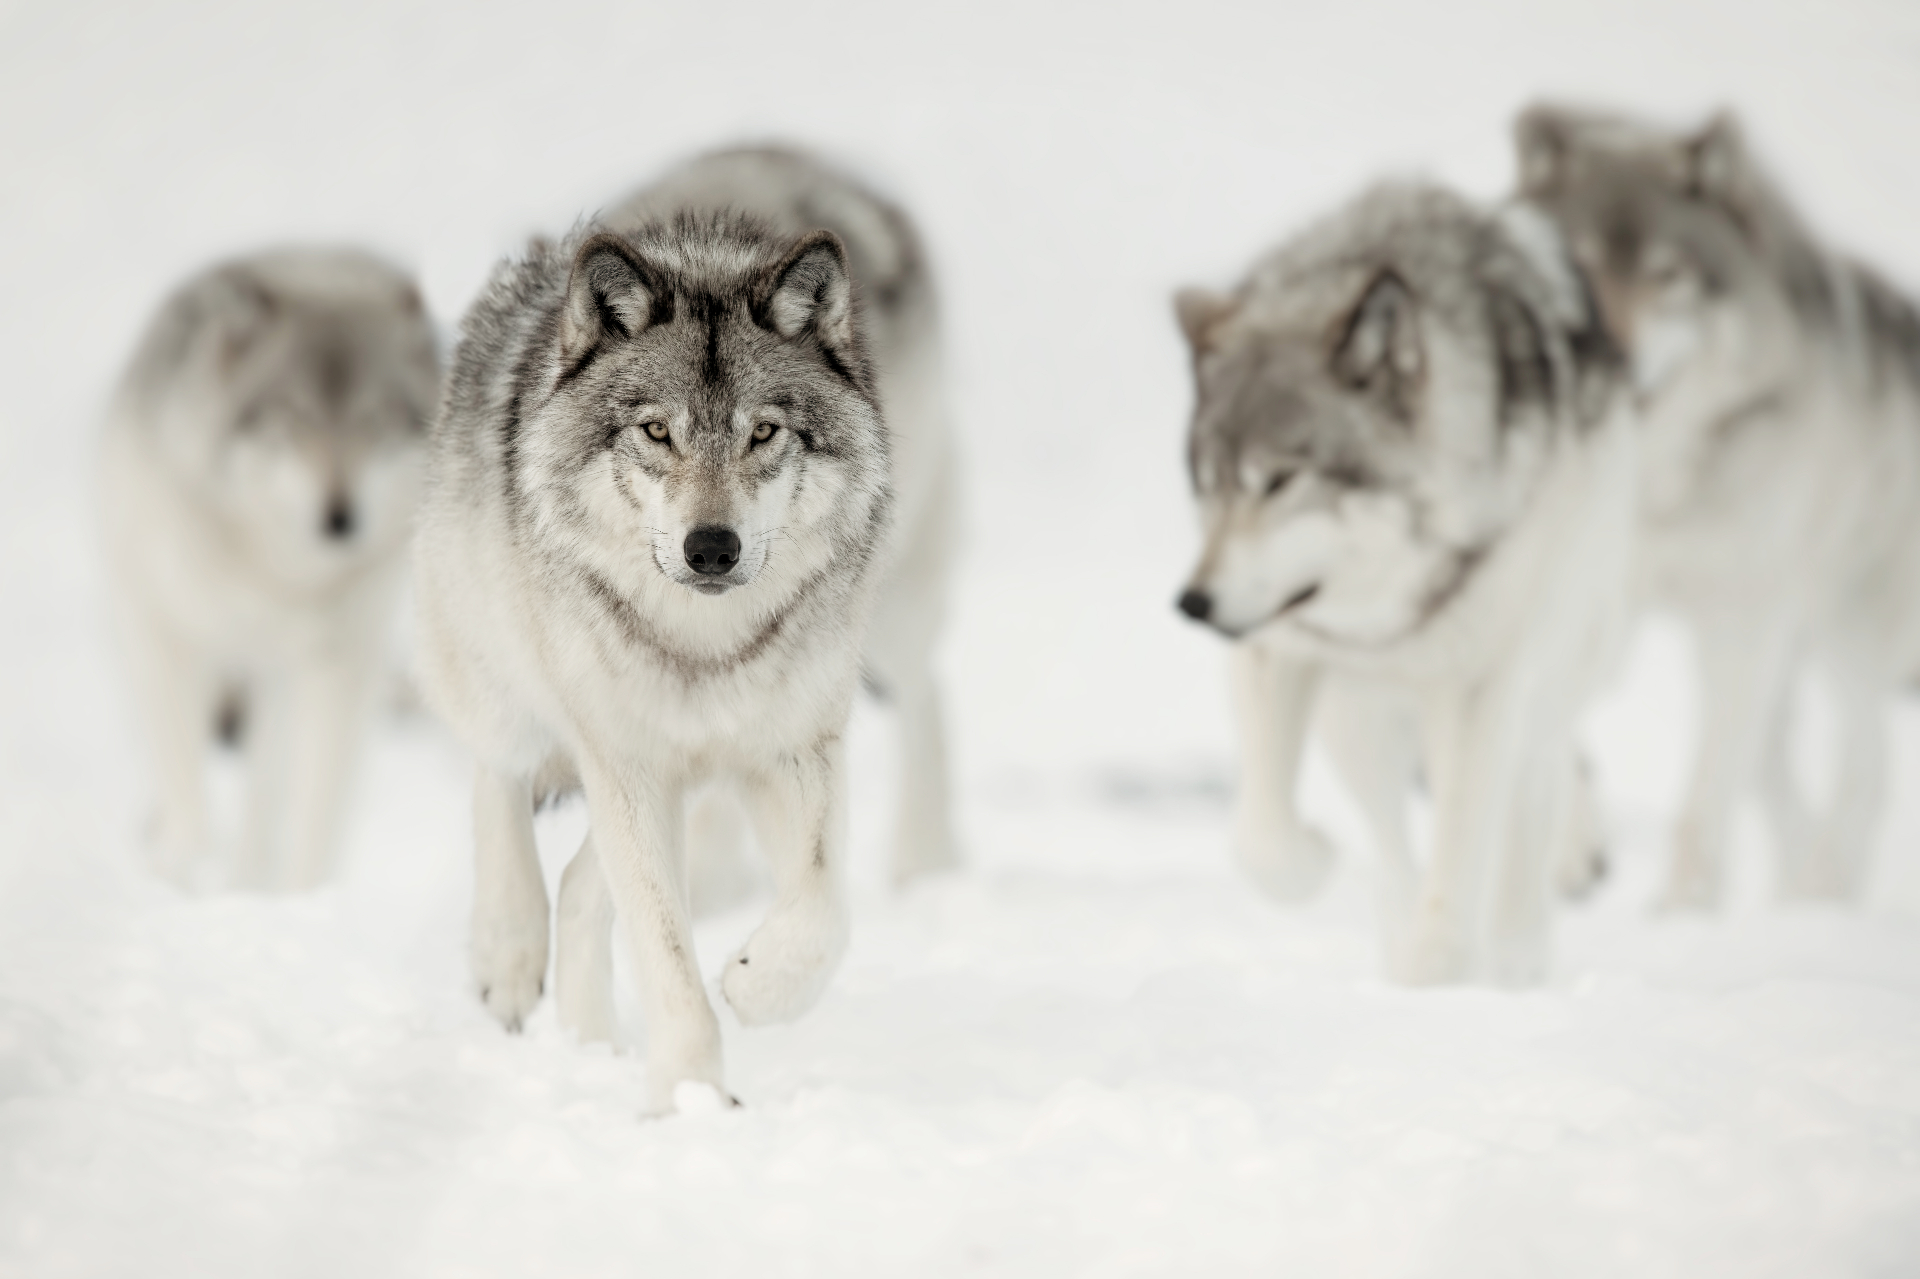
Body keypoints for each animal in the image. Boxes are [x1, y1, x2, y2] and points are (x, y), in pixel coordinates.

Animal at [100, 249, 438, 891]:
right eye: (294, 416)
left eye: (374, 419)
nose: (340, 519)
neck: (276, 571)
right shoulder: (170, 637)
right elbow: (185, 780)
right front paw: (182, 877)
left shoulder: (331, 665)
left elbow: (311, 807)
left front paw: (300, 898)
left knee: (268, 796)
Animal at [413, 152, 911, 1111]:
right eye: (655, 431)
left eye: (763, 432)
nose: (710, 547)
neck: (706, 645)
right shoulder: (627, 763)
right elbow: (668, 957)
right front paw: (688, 1098)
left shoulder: (792, 747)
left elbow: (825, 907)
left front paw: (758, 986)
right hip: (508, 681)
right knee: (498, 778)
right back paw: (507, 953)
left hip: (681, 784)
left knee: (581, 886)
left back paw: (589, 1044)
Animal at [1174, 183, 1635, 983]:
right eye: (1209, 484)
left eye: (1280, 480)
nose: (1194, 603)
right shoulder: (1282, 644)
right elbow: (1262, 839)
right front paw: (1317, 858)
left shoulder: (1481, 685)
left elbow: (1465, 841)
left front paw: (1446, 971)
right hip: (1357, 717)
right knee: (1391, 838)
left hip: (1546, 675)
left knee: (1533, 797)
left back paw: (1516, 956)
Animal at [1516, 106, 1920, 906]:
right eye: (1576, 264)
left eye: (1667, 276)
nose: (1612, 353)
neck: (1648, 486)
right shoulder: (1575, 603)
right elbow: (1557, 734)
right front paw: (1574, 850)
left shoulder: (1739, 624)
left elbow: (1702, 807)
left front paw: (1681, 917)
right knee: (1782, 786)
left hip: (1843, 639)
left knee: (1865, 770)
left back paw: (1819, 897)